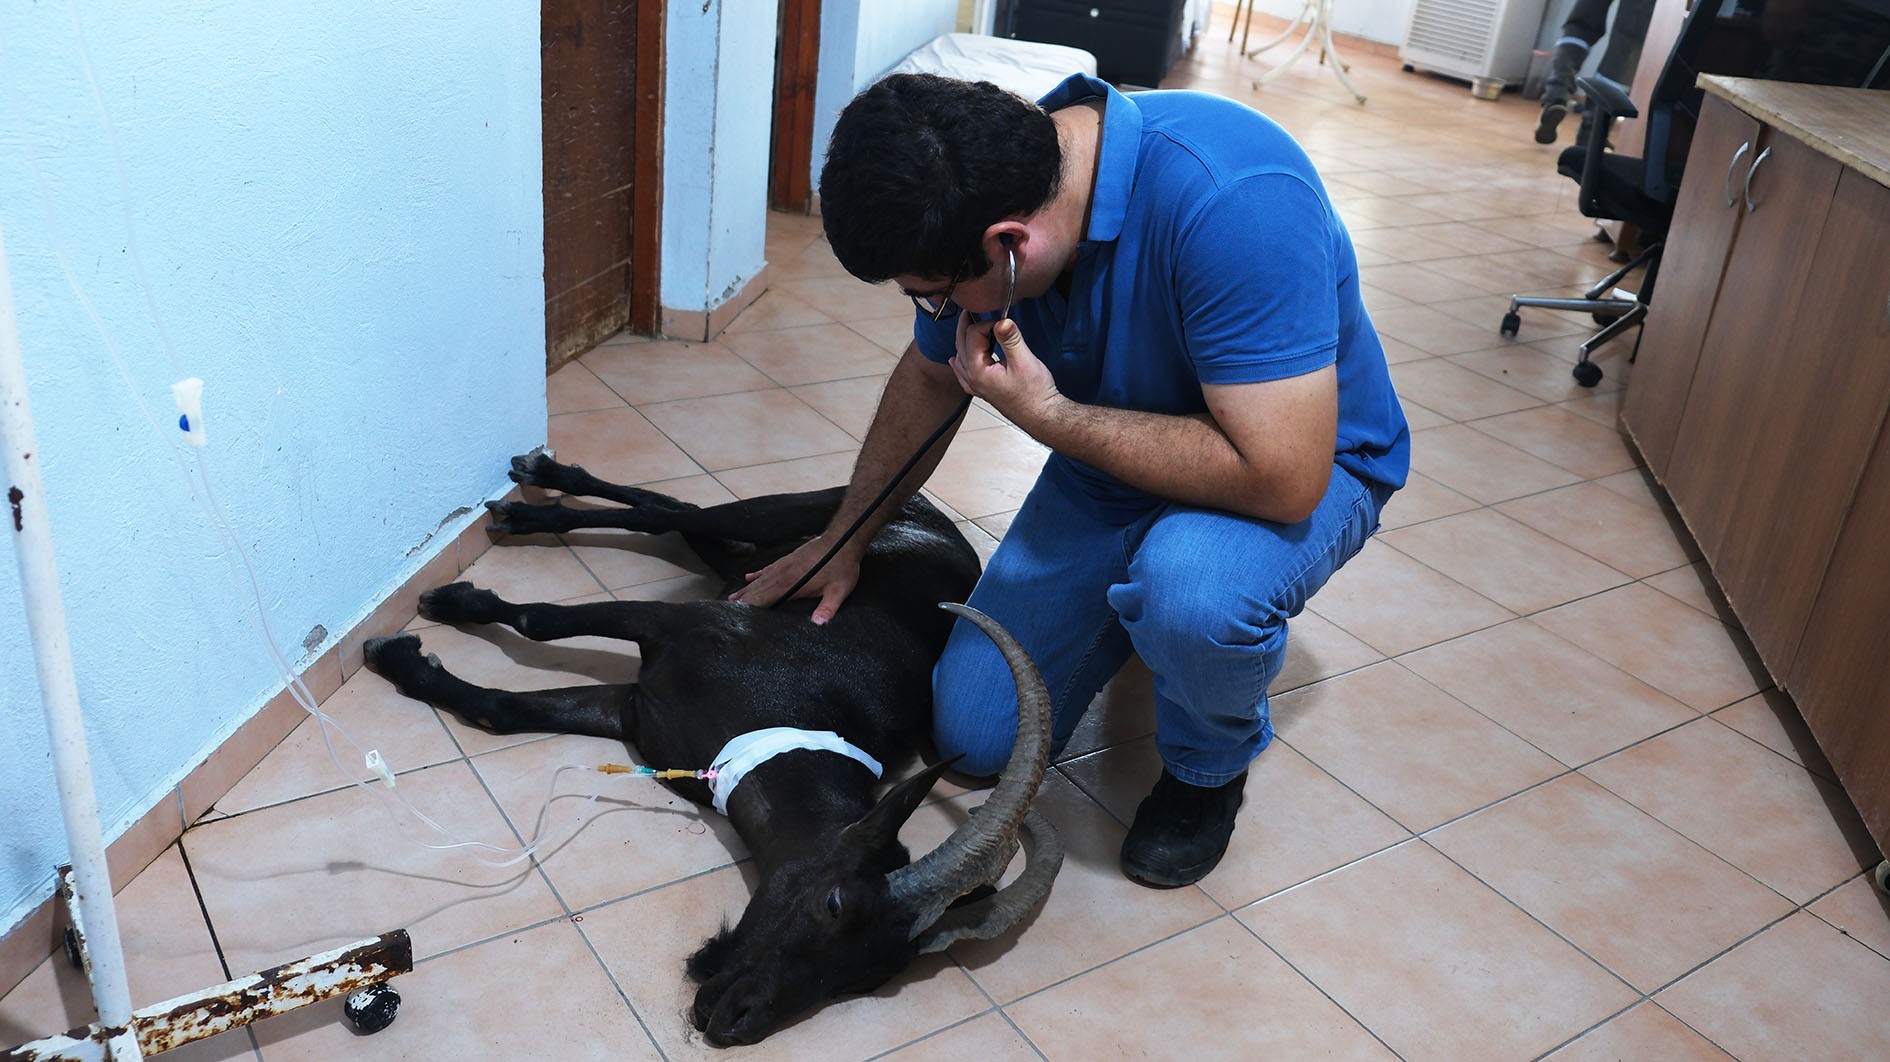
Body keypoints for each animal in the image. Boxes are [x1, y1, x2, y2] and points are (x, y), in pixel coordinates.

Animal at [357, 453, 1065, 1043]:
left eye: (870, 977)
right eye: (834, 903)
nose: (734, 1022)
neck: (784, 736)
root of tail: (928, 512)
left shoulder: (634, 711)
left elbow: (502, 709)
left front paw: (411, 663)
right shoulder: (670, 625)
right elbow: (541, 620)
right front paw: (433, 617)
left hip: (748, 564)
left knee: (676, 514)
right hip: (788, 525)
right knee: (673, 512)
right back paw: (535, 496)